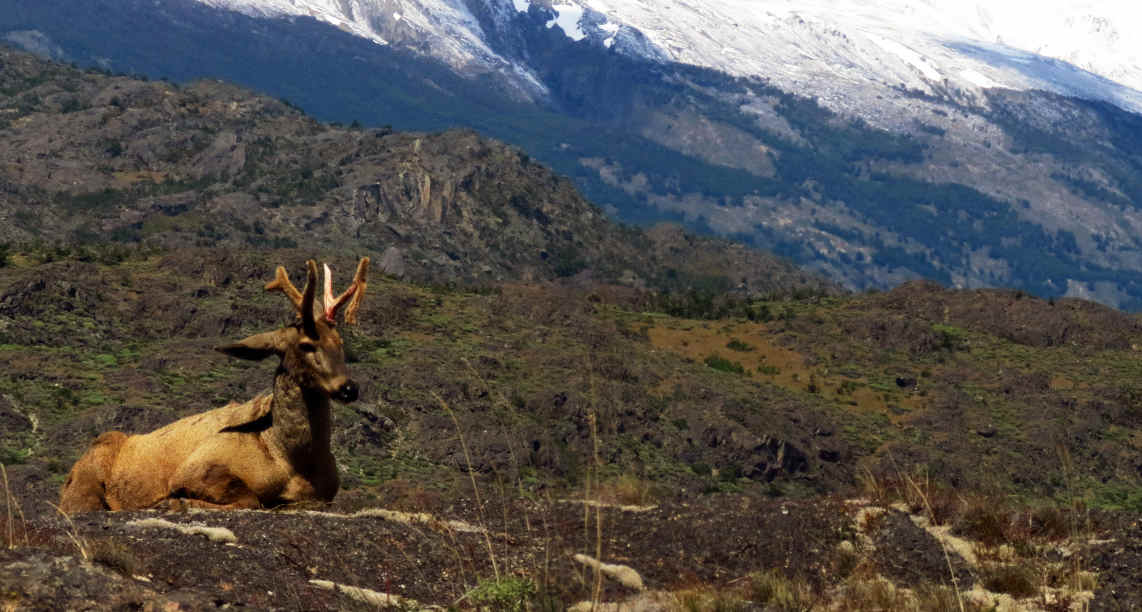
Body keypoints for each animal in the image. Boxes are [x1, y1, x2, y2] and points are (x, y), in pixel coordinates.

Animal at [59, 258, 370, 511]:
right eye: (305, 345)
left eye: (340, 342)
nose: (349, 388)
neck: (291, 457)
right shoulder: (196, 467)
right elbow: (250, 499)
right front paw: (175, 502)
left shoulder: (321, 495)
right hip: (83, 484)